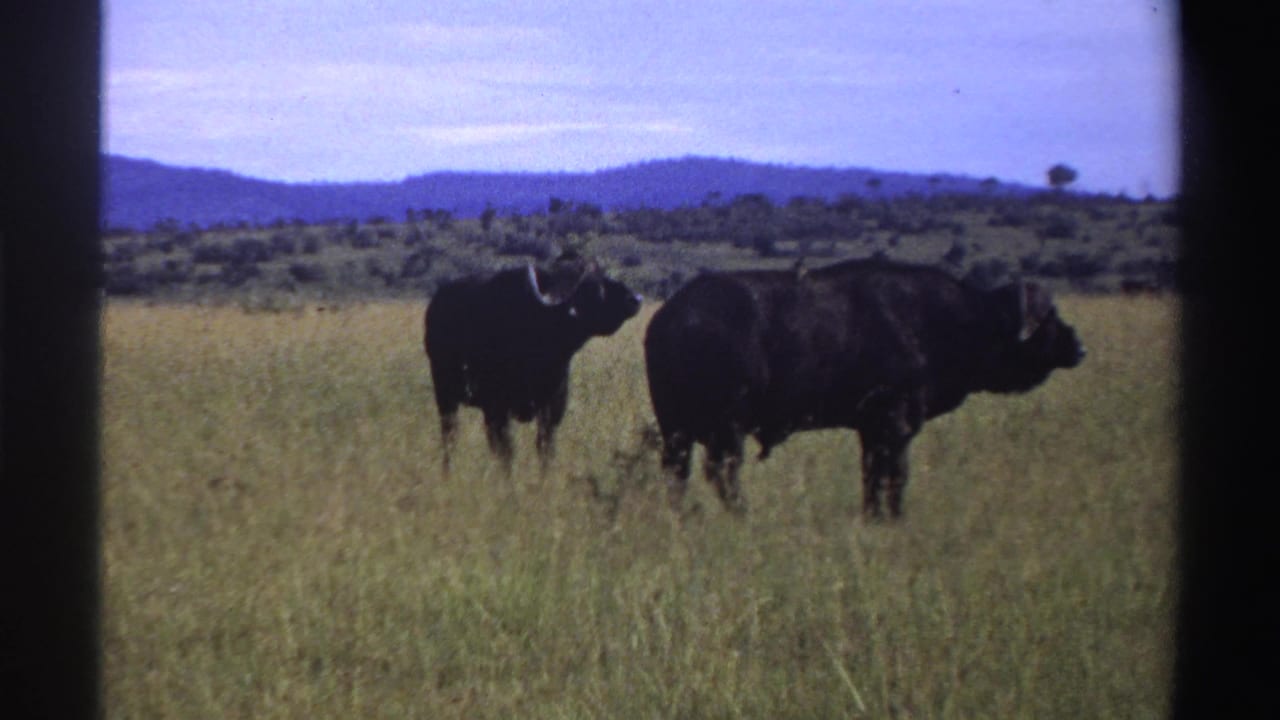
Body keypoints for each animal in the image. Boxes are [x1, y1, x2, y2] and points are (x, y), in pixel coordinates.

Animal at [425, 251, 642, 473]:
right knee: (450, 437)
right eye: (594, 286)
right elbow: (506, 453)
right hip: (445, 397)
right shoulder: (497, 410)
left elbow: (545, 450)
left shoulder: (552, 410)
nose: (635, 299)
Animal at [643, 258, 1085, 519]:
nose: (1078, 347)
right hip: (726, 429)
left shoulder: (871, 431)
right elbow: (895, 476)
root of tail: (671, 317)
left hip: (677, 430)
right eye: (1048, 317)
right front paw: (893, 518)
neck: (956, 320)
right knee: (724, 473)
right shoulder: (895, 425)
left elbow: (871, 477)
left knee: (678, 473)